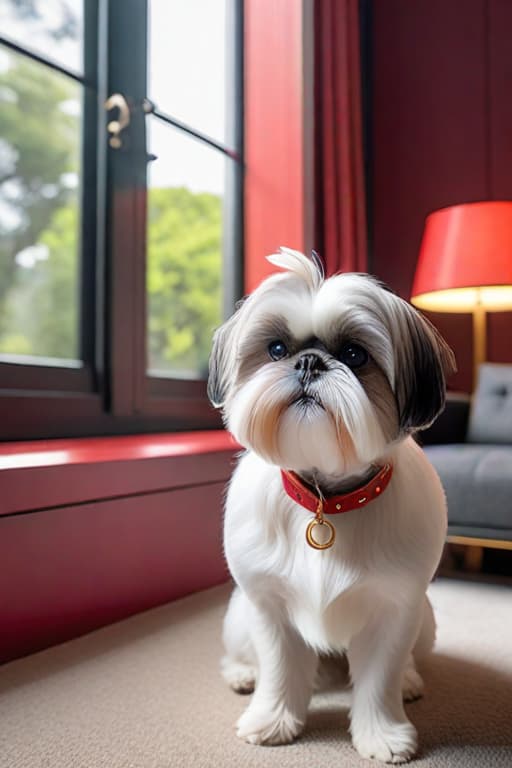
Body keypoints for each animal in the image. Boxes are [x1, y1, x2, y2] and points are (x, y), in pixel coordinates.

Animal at [208, 250, 456, 760]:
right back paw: (243, 674)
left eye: (355, 355)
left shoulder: (395, 608)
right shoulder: (269, 606)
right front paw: (272, 719)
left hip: (425, 619)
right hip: (239, 614)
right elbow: (279, 670)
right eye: (276, 349)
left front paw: (382, 733)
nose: (308, 362)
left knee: (404, 662)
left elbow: (379, 678)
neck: (328, 498)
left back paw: (409, 681)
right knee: (242, 654)